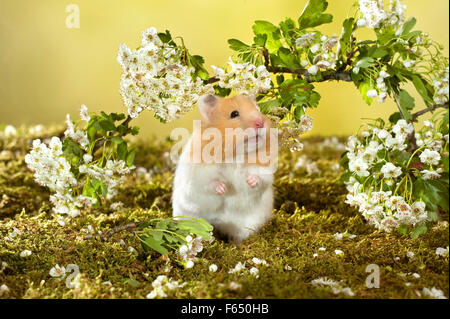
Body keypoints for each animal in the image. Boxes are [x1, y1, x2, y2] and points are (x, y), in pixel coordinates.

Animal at [171, 94, 274, 244]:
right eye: (234, 114)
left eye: (258, 109)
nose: (261, 122)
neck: (235, 154)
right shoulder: (197, 177)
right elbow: (209, 183)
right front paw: (222, 188)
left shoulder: (264, 172)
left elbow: (260, 179)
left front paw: (250, 180)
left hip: (247, 226)